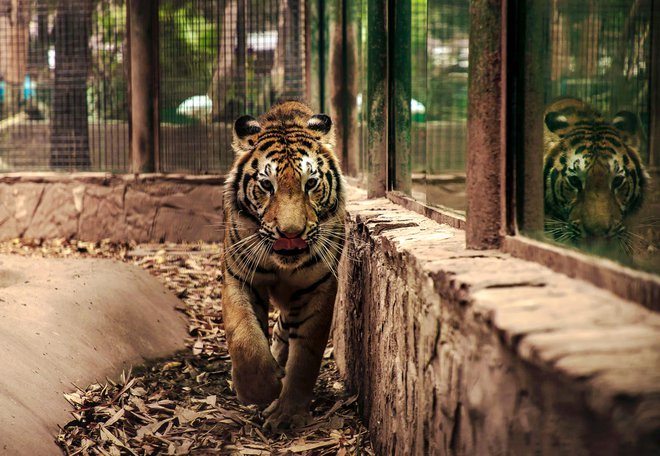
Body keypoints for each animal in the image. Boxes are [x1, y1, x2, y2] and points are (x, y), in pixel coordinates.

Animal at [220, 100, 346, 432]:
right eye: (267, 185)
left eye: (310, 183)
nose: (291, 234)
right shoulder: (239, 277)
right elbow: (245, 337)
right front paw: (259, 390)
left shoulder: (318, 287)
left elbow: (305, 359)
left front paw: (287, 413)